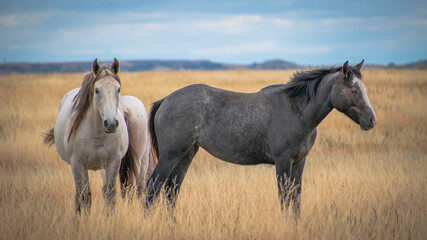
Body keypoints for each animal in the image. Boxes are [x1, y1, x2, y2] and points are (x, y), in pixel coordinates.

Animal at [42, 58, 157, 214]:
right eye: (96, 90)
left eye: (118, 89)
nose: (111, 123)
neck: (96, 133)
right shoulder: (78, 164)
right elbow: (84, 196)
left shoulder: (113, 162)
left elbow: (109, 194)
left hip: (140, 160)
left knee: (138, 188)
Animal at [146, 59, 378, 216]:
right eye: (354, 90)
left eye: (364, 89)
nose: (371, 120)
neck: (297, 110)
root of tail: (166, 99)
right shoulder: (283, 162)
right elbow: (285, 197)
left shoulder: (299, 162)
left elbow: (296, 198)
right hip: (171, 156)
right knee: (152, 188)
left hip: (186, 155)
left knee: (171, 192)